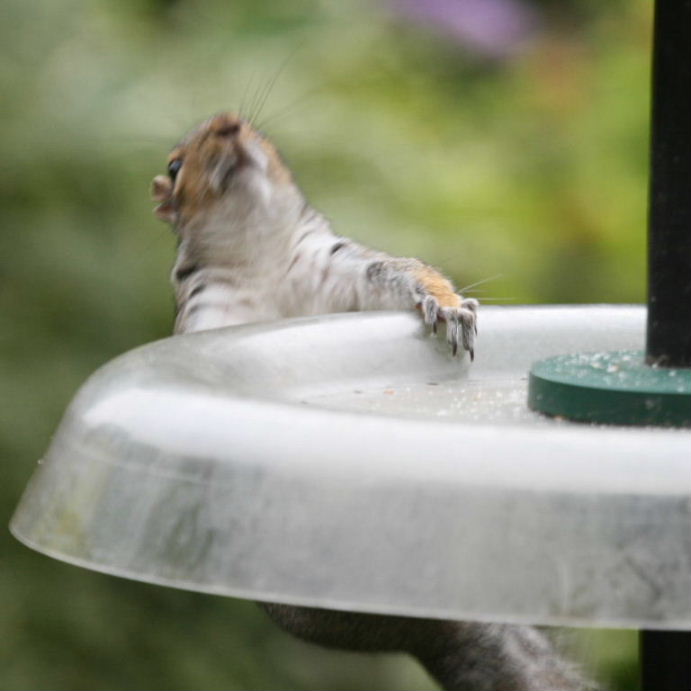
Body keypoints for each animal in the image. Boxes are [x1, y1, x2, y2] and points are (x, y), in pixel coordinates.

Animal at [152, 113, 591, 691]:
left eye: (257, 132)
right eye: (174, 166)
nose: (229, 125)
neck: (256, 253)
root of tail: (420, 625)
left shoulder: (350, 269)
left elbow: (408, 276)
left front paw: (450, 309)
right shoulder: (205, 317)